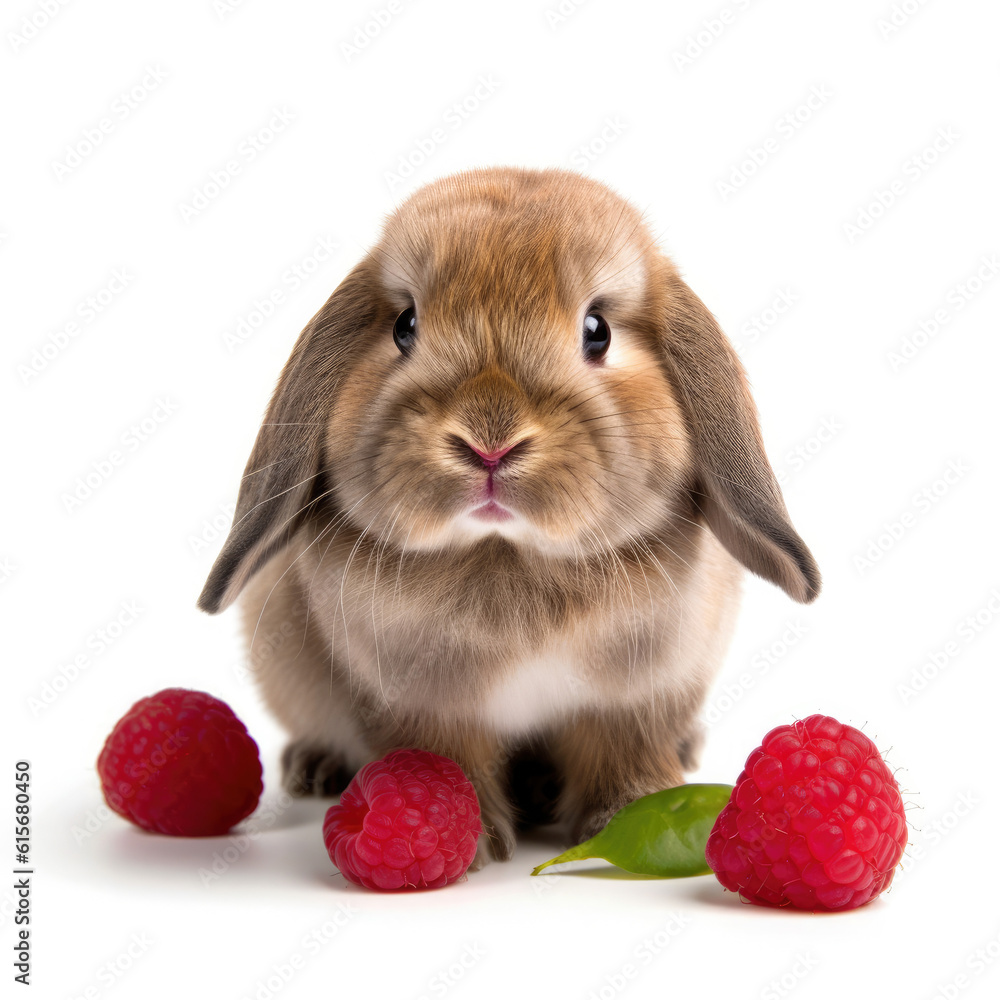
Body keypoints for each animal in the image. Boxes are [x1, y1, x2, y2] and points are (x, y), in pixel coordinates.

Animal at [197, 166, 820, 868]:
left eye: (598, 330)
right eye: (405, 325)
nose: (489, 443)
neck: (506, 556)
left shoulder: (635, 699)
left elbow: (622, 754)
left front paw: (624, 815)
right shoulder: (420, 708)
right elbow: (446, 763)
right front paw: (470, 842)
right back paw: (316, 768)